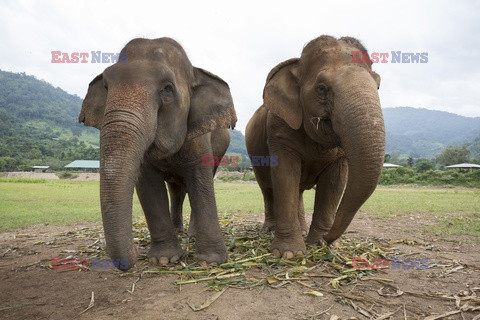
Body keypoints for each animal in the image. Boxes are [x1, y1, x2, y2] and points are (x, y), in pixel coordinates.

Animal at [79, 38, 238, 272]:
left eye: (167, 89)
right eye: (106, 87)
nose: (134, 251)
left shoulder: (199, 138)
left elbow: (201, 182)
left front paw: (210, 261)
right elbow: (148, 186)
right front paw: (164, 259)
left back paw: (191, 234)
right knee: (176, 189)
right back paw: (178, 231)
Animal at [246, 35, 384, 260]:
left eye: (378, 86)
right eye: (321, 88)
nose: (328, 238)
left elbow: (335, 182)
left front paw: (321, 244)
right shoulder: (278, 127)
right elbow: (285, 175)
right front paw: (288, 254)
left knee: (298, 191)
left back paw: (302, 231)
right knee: (267, 189)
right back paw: (269, 229)